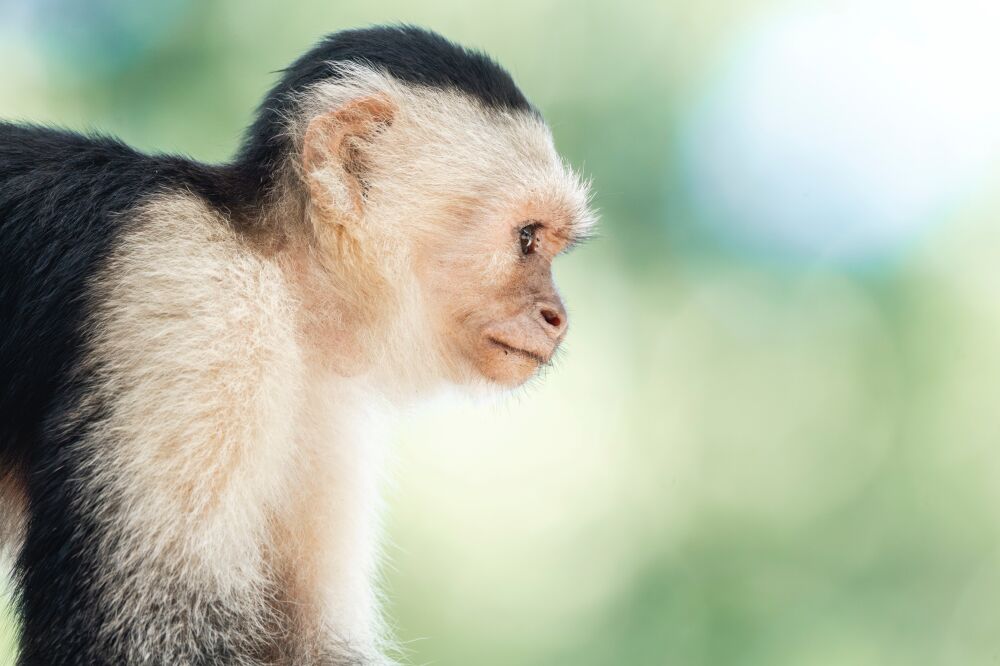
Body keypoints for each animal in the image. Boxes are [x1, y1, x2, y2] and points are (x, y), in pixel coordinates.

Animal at [0, 24, 592, 660]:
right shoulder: (203, 303)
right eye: (527, 238)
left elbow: (310, 643)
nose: (557, 316)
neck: (284, 276)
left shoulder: (328, 396)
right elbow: (134, 637)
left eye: (549, 243)